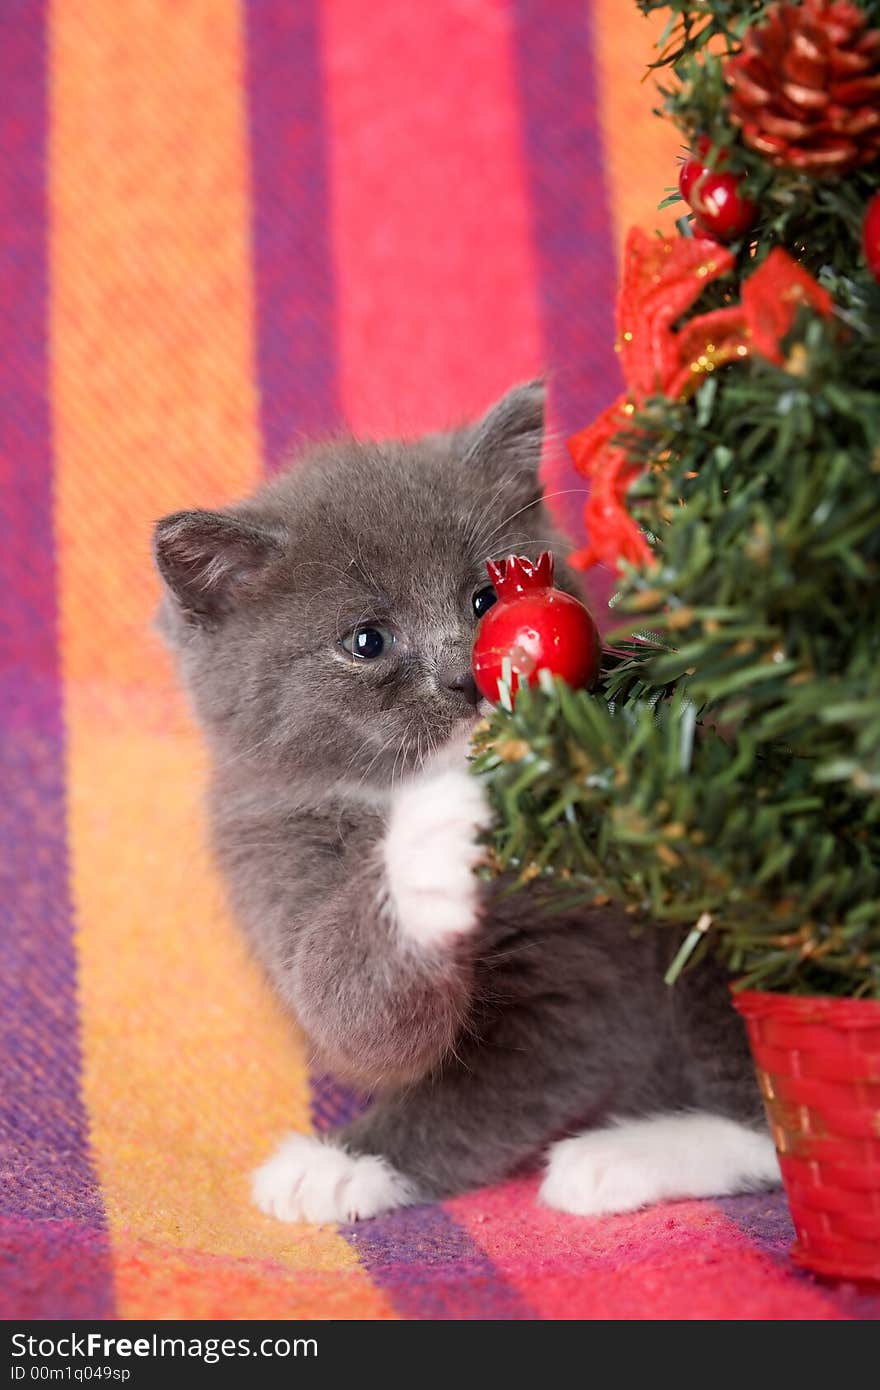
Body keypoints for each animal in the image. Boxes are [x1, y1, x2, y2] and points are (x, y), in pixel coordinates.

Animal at [152, 386, 772, 1223]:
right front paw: (430, 849)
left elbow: (505, 1077)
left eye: (484, 599)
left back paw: (621, 1156)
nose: (466, 681)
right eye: (367, 640)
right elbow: (348, 1008)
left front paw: (339, 1165)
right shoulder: (267, 848)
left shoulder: (590, 968)